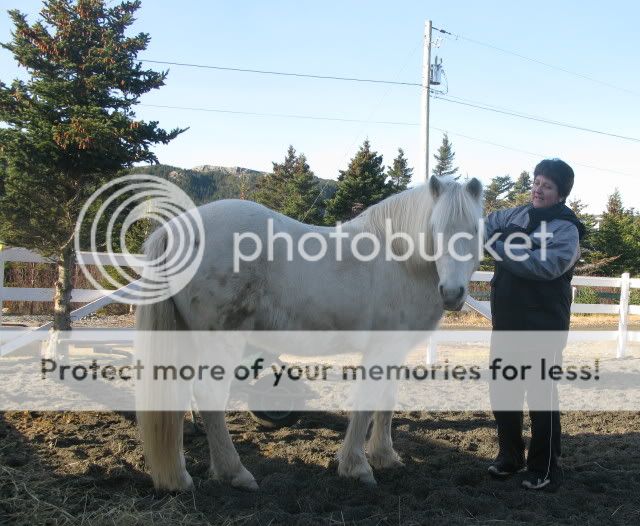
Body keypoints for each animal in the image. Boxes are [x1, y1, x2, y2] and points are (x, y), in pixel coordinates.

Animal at [138, 175, 482, 492]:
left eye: (475, 230)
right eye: (435, 228)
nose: (452, 293)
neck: (400, 259)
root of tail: (175, 228)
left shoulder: (395, 350)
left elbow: (386, 400)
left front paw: (385, 457)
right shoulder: (382, 349)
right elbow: (368, 402)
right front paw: (356, 466)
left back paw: (181, 476)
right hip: (221, 340)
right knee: (209, 396)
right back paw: (235, 473)